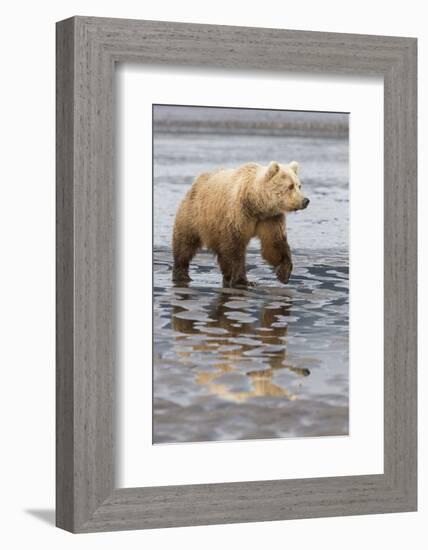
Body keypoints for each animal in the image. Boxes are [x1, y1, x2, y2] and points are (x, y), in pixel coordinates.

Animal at [172, 161, 310, 286]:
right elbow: (235, 247)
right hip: (195, 214)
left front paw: (284, 274)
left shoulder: (270, 219)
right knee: (185, 243)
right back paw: (182, 274)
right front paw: (243, 280)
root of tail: (197, 181)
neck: (256, 205)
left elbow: (274, 244)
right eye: (290, 186)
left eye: (299, 185)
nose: (305, 200)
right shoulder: (238, 214)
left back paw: (226, 277)